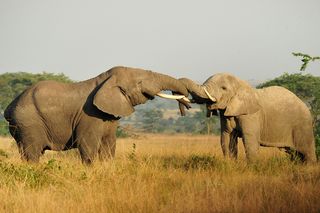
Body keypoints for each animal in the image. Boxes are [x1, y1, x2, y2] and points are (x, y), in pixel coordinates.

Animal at [4, 65, 190, 164]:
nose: (186, 106)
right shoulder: (89, 116)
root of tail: (8, 108)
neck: (105, 80)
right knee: (32, 154)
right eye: (139, 82)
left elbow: (109, 145)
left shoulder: (109, 116)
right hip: (29, 123)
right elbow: (88, 146)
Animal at [179, 73, 316, 163]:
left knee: (307, 151)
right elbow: (226, 137)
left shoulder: (251, 115)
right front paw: (230, 165)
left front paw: (253, 167)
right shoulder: (227, 113)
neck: (241, 85)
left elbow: (249, 139)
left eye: (223, 88)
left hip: (302, 125)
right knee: (295, 153)